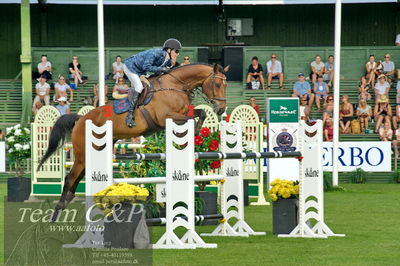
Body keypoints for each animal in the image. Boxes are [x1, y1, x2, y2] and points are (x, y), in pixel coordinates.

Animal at [39, 62, 231, 220]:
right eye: (217, 84)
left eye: (225, 85)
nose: (221, 109)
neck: (175, 86)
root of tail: (80, 119)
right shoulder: (166, 117)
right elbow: (193, 117)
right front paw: (196, 131)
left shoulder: (183, 113)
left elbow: (201, 112)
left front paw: (197, 131)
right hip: (82, 154)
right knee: (70, 178)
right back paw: (57, 213)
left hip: (95, 151)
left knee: (78, 177)